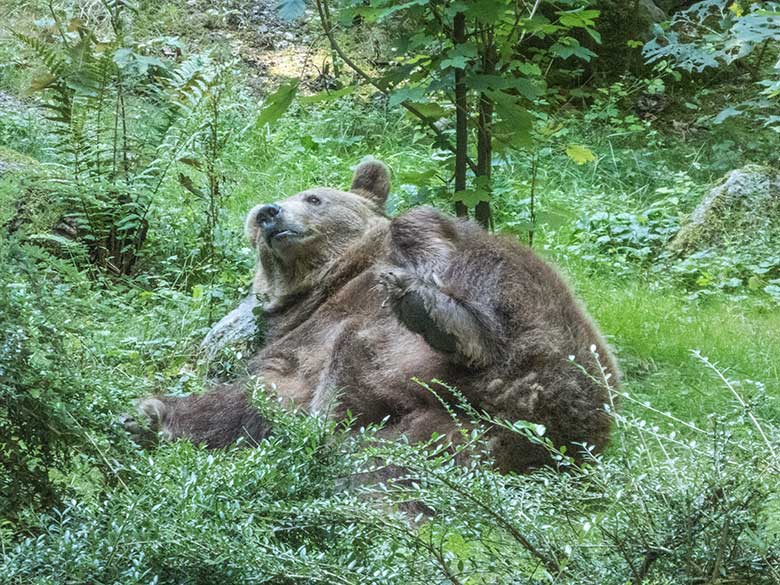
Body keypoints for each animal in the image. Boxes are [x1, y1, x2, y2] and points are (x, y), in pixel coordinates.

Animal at [123, 159, 620, 470]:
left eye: (314, 197)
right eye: (255, 229)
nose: (267, 213)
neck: (331, 280)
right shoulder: (301, 339)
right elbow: (262, 391)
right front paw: (151, 413)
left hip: (552, 329)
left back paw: (435, 315)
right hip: (445, 423)